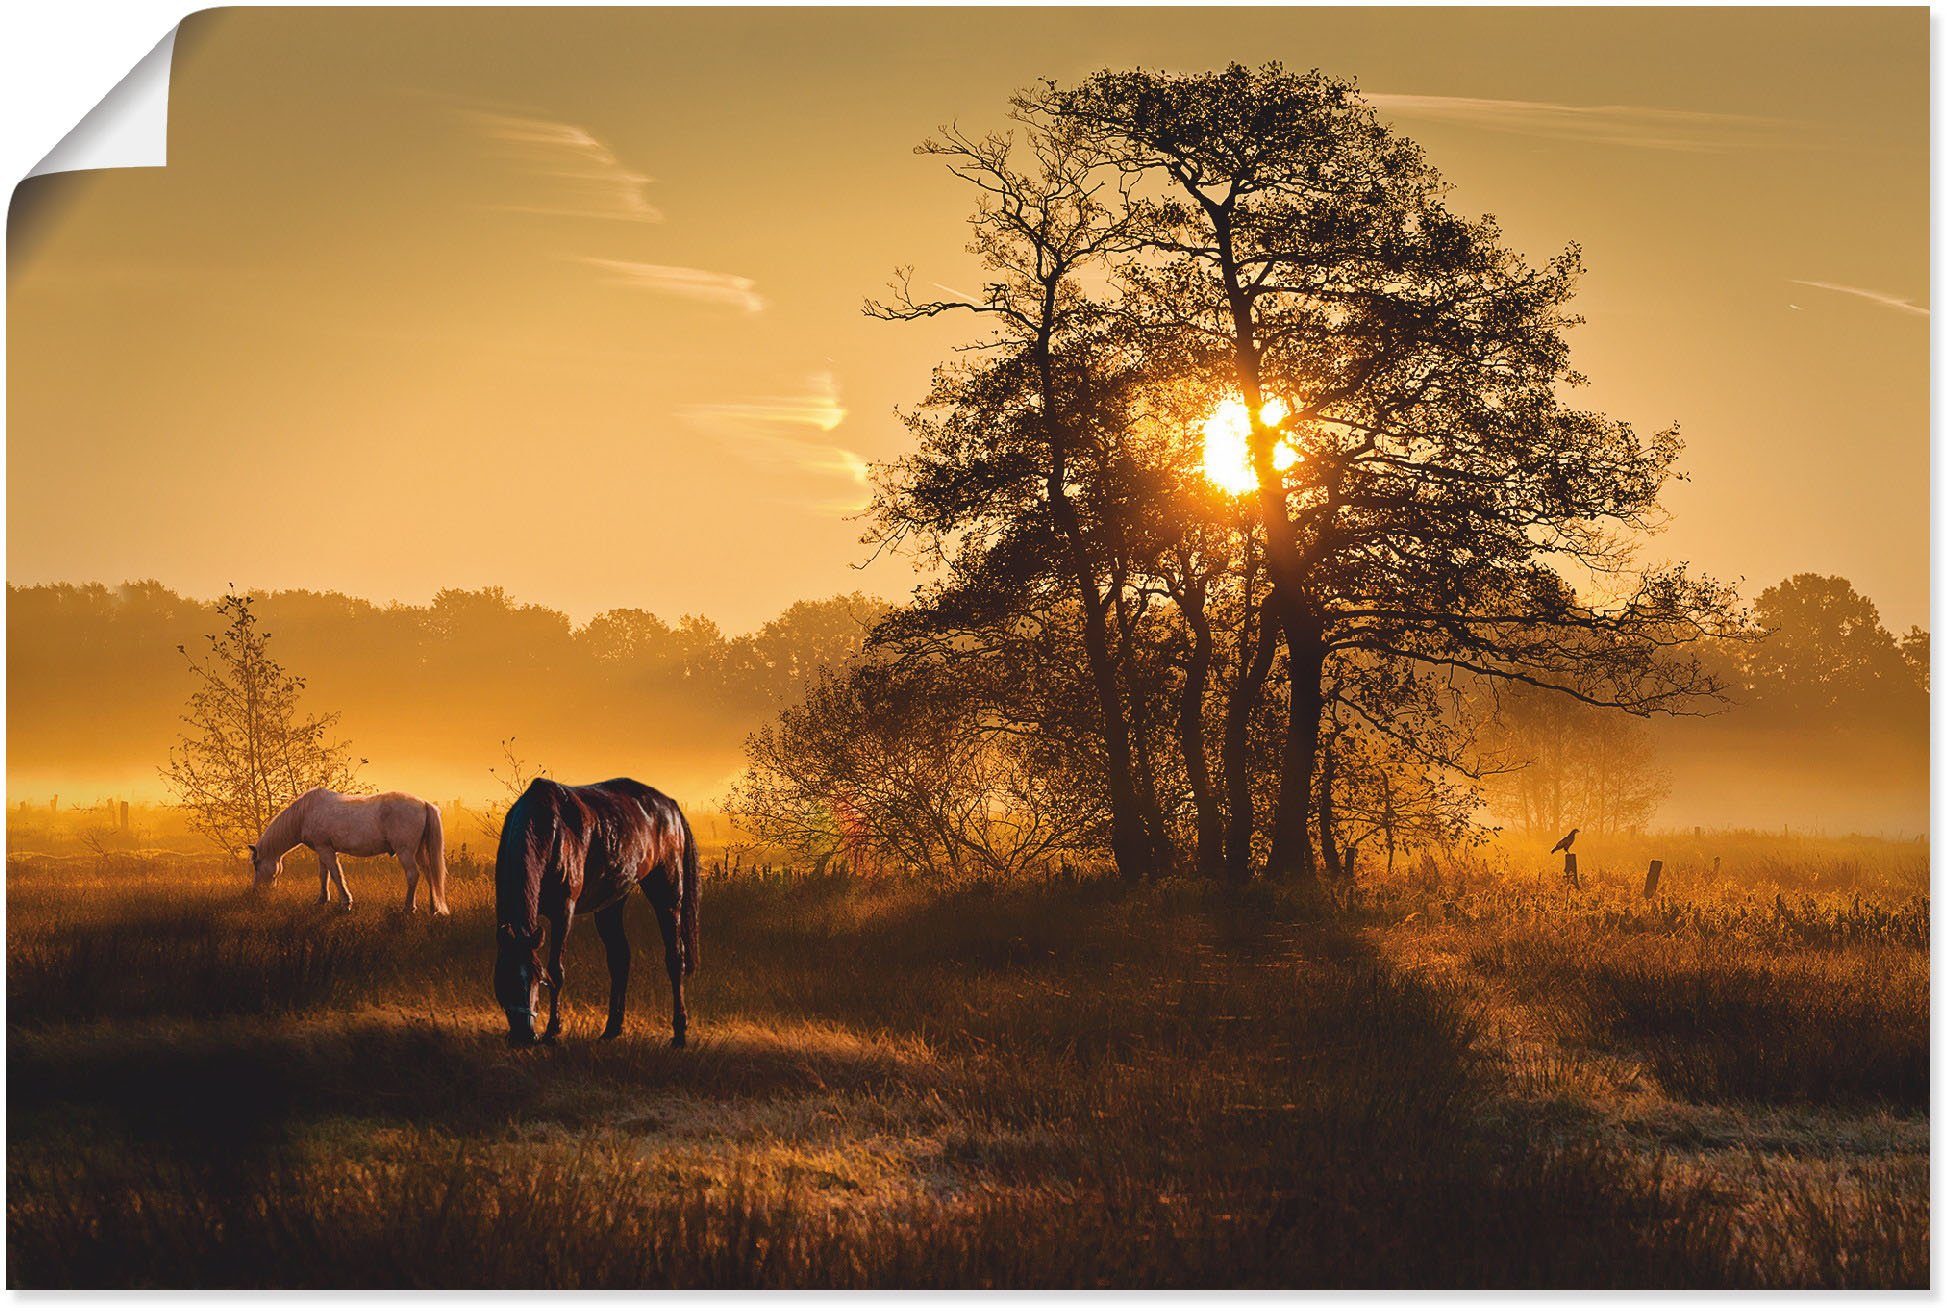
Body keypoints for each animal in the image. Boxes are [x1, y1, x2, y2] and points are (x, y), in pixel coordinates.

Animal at [247, 786, 447, 911]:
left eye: (256, 865)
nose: (256, 892)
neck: (305, 813)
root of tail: (424, 803)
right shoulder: (323, 849)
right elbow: (324, 875)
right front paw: (321, 900)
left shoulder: (326, 850)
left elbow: (336, 875)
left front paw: (346, 903)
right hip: (419, 851)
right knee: (429, 873)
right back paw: (433, 908)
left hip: (405, 851)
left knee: (413, 875)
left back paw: (408, 907)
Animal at [494, 779, 700, 1044]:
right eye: (504, 977)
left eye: (537, 978)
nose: (524, 1036)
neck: (548, 829)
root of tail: (672, 807)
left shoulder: (564, 911)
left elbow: (557, 970)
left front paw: (553, 1031)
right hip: (611, 904)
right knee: (620, 958)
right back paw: (612, 1028)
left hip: (668, 895)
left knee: (675, 958)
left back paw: (679, 1033)